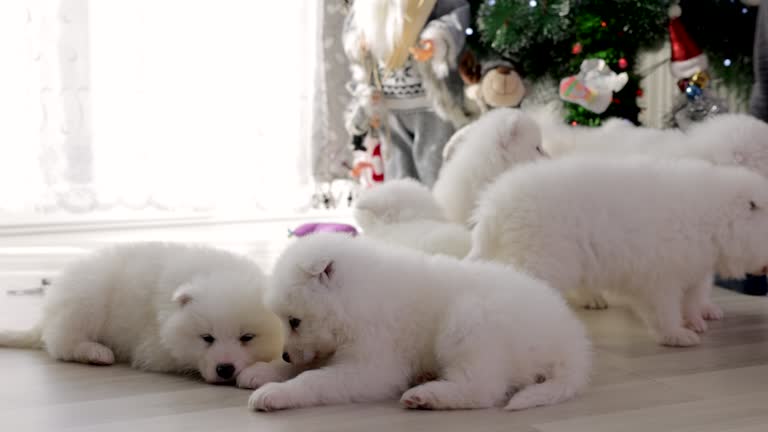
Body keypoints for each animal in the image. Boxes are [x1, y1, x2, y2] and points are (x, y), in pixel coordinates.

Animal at [0, 241, 284, 384]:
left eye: (247, 337)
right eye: (207, 338)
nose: (225, 369)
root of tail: (45, 317)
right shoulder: (155, 349)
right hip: (88, 295)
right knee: (62, 342)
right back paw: (95, 352)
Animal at [243, 233, 592, 412]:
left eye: (295, 321)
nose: (285, 354)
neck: (356, 299)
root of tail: (572, 343)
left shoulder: (372, 366)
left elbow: (313, 379)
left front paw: (275, 393)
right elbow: (307, 366)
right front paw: (264, 371)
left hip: (468, 321)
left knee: (482, 389)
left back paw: (427, 395)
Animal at [468, 157, 768, 346]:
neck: (712, 219)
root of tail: (495, 204)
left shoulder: (694, 270)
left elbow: (692, 300)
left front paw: (695, 322)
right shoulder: (661, 278)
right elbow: (666, 310)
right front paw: (676, 335)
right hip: (546, 258)